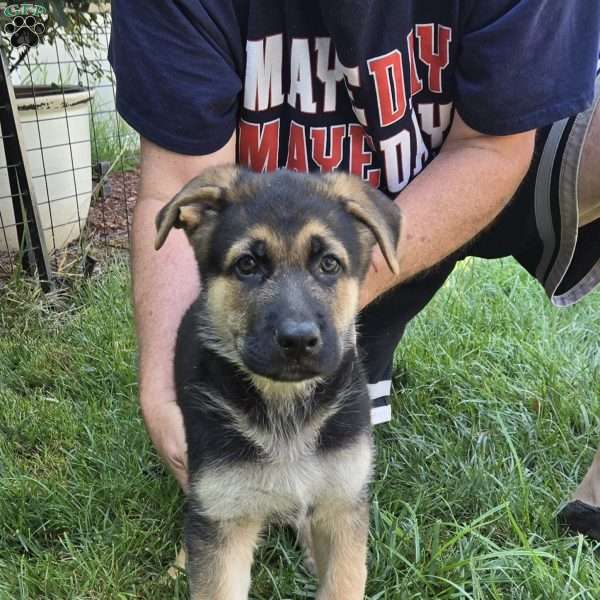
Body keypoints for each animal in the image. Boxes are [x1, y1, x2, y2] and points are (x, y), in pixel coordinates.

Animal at [154, 166, 404, 600]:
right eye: (247, 265)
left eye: (329, 264)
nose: (298, 340)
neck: (285, 403)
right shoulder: (224, 514)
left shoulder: (344, 504)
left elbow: (344, 582)